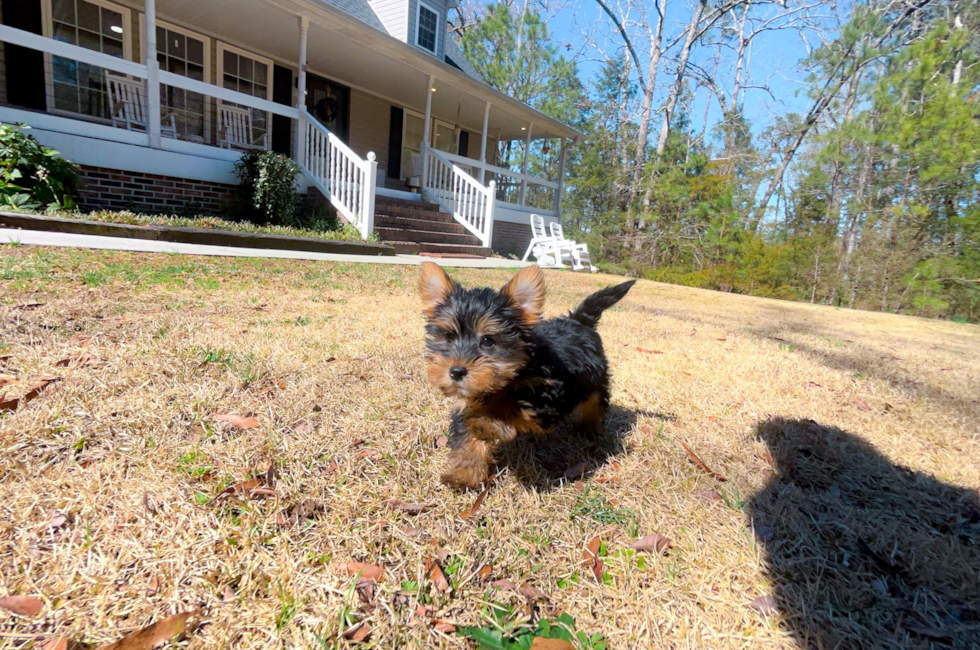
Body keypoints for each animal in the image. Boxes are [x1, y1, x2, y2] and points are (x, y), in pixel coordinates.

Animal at [420, 260, 636, 488]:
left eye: (487, 340)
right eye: (449, 337)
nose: (456, 371)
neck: (516, 369)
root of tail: (579, 321)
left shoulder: (550, 396)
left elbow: (513, 407)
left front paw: (490, 425)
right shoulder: (467, 401)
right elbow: (467, 434)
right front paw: (463, 475)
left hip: (595, 379)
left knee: (596, 401)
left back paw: (589, 428)